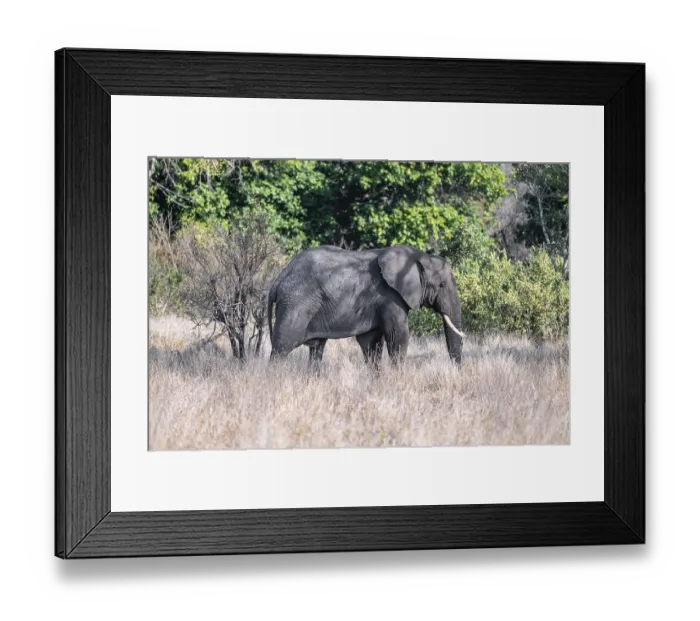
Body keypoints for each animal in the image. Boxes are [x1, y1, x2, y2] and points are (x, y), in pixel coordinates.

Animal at [267, 244, 466, 368]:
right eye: (441, 285)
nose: (456, 370)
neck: (418, 256)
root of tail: (278, 279)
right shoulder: (391, 297)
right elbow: (398, 336)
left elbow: (371, 343)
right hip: (296, 304)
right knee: (282, 347)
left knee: (316, 350)